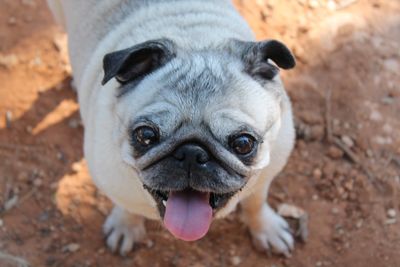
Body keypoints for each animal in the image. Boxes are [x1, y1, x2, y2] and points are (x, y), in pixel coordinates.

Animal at [47, 0, 296, 258]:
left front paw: (266, 228)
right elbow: (127, 208)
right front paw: (126, 226)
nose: (192, 153)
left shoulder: (266, 176)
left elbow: (256, 202)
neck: (196, 41)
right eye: (146, 136)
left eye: (243, 143)